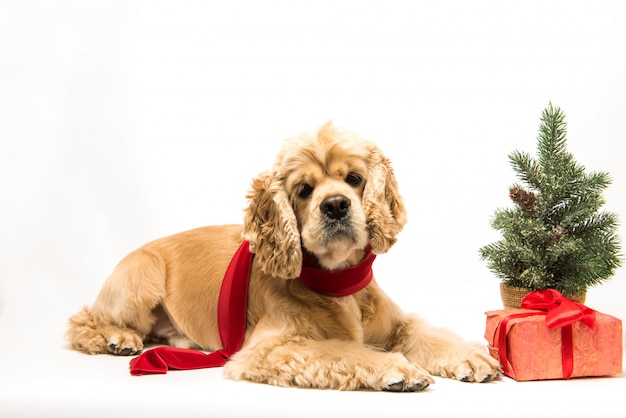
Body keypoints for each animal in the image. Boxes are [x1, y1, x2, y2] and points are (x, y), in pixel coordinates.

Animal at [66, 121, 500, 392]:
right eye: (304, 189)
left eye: (354, 179)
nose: (336, 205)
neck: (337, 281)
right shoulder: (270, 348)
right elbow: (343, 349)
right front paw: (396, 367)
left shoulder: (396, 324)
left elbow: (426, 334)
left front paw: (469, 357)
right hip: (141, 277)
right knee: (82, 322)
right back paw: (118, 338)